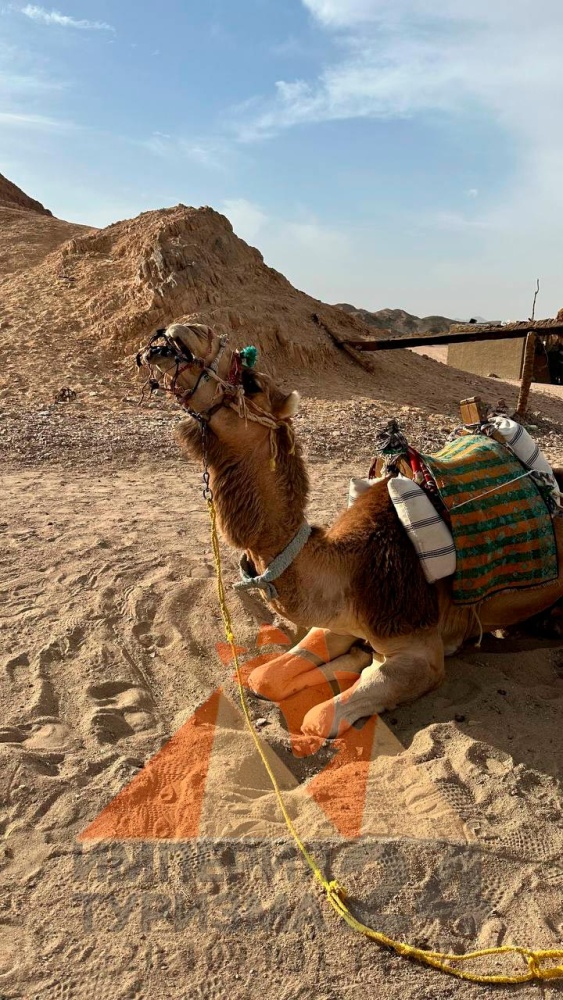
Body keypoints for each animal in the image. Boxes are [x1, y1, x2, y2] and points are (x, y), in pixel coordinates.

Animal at [138, 323, 563, 740]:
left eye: (251, 382)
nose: (179, 332)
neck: (350, 567)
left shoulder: (420, 649)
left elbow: (319, 717)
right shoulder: (340, 620)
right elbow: (264, 677)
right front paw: (355, 654)